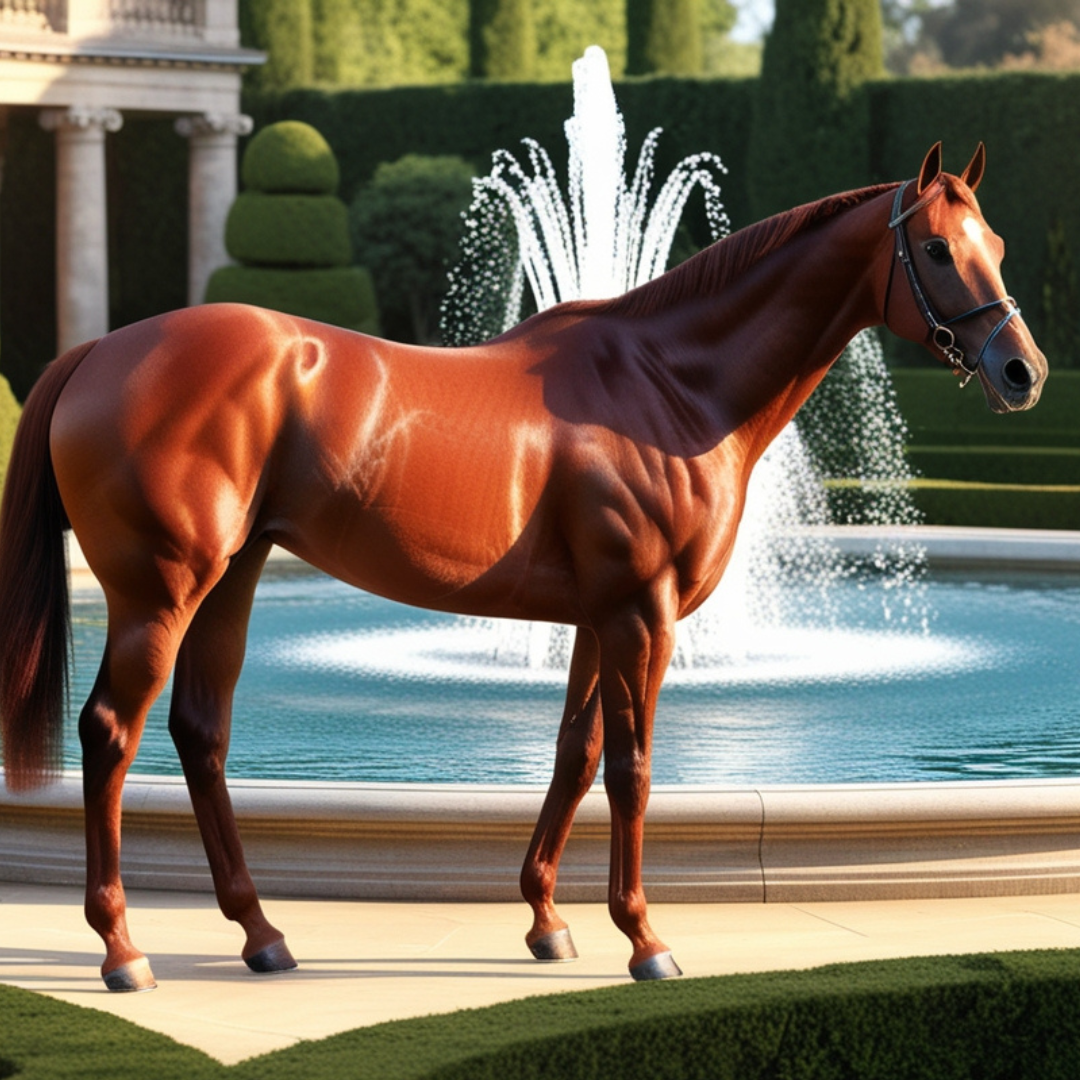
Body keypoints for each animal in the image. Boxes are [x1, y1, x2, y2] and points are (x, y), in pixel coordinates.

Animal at [0, 143, 1046, 991]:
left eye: (997, 240)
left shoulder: (597, 617)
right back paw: (123, 950)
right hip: (161, 591)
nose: (1022, 372)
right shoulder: (642, 614)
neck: (669, 384)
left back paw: (262, 934)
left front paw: (547, 921)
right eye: (939, 250)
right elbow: (631, 769)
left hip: (235, 575)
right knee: (110, 734)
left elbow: (574, 755)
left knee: (201, 733)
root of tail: (100, 349)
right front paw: (645, 940)